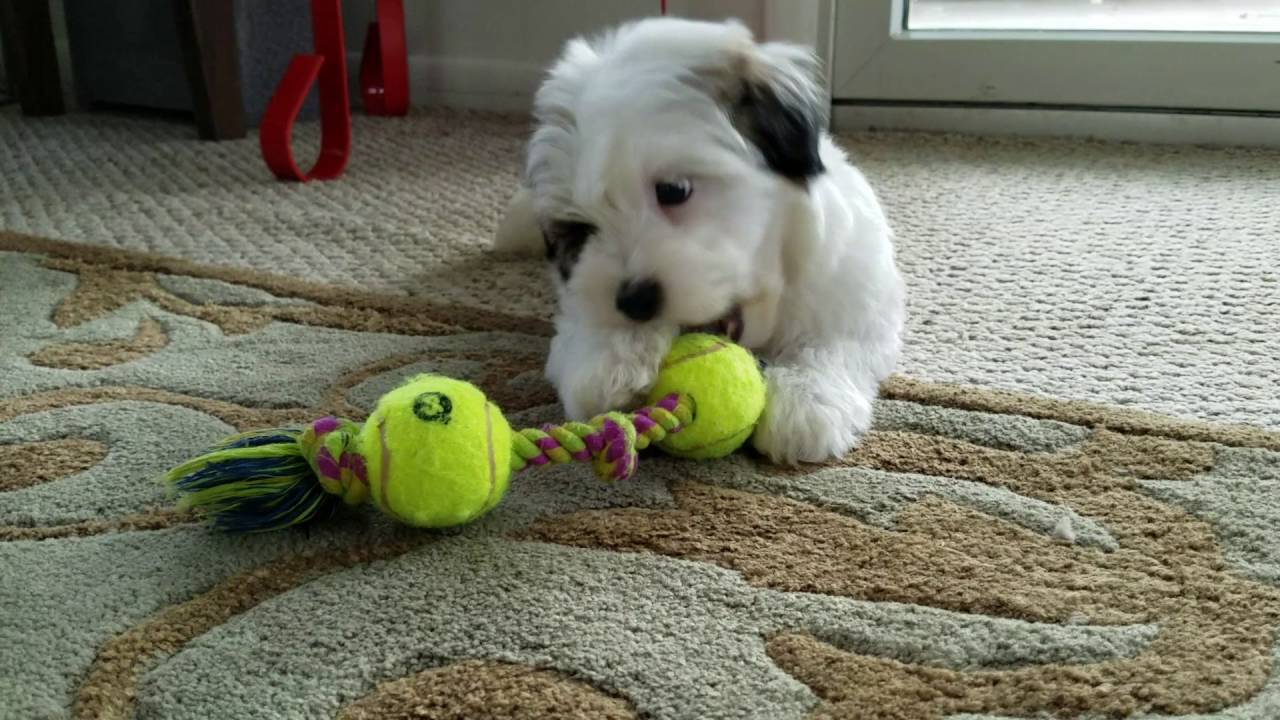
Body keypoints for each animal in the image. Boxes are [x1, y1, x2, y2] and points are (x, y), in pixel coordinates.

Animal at [494, 19, 906, 466]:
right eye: (582, 229)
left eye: (675, 190)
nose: (634, 301)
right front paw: (612, 357)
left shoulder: (855, 290)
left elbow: (838, 342)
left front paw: (807, 398)